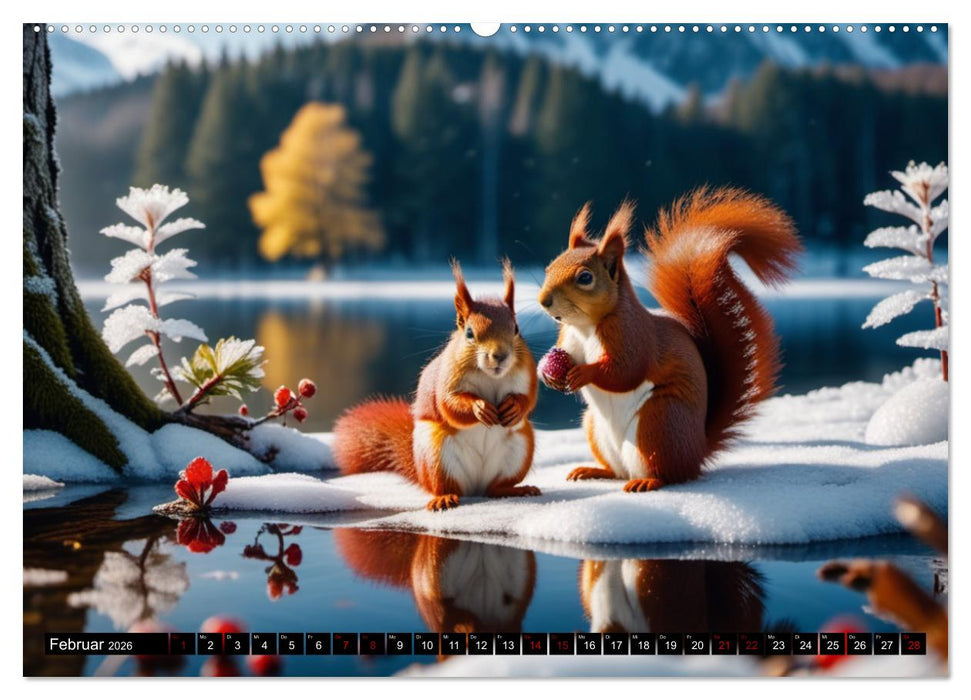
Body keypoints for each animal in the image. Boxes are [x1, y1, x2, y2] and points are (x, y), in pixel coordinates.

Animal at [333, 259, 541, 511]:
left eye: (516, 329)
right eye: (469, 333)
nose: (500, 356)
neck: (490, 376)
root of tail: (475, 488)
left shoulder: (526, 374)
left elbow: (529, 398)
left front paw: (515, 407)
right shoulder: (448, 377)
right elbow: (448, 404)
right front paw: (479, 408)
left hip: (521, 446)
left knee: (495, 488)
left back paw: (516, 490)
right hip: (436, 455)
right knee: (446, 486)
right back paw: (444, 498)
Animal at [538, 187, 801, 492]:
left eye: (585, 277)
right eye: (549, 267)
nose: (544, 301)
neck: (586, 326)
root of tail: (698, 450)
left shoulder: (631, 334)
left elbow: (625, 371)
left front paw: (583, 373)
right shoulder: (568, 339)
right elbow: (568, 355)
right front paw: (550, 374)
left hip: (659, 423)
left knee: (667, 473)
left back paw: (647, 481)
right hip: (596, 428)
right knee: (617, 471)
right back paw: (592, 470)